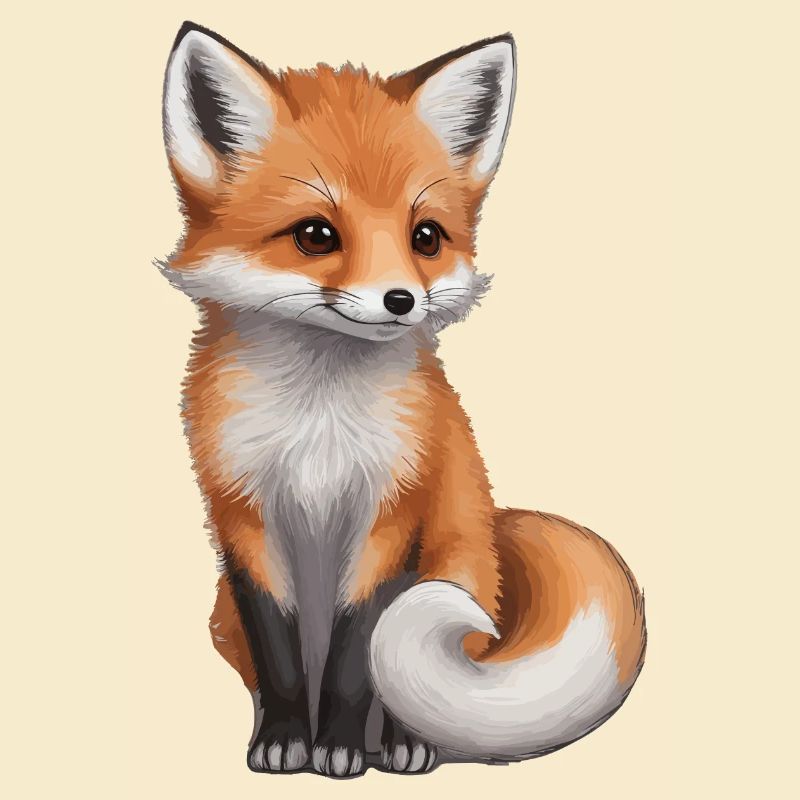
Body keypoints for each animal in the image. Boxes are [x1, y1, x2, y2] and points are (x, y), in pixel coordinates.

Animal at [158, 21, 646, 778]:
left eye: (426, 237)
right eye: (315, 234)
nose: (400, 300)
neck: (320, 423)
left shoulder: (393, 510)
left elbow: (360, 649)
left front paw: (338, 746)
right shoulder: (242, 514)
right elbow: (278, 647)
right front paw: (287, 740)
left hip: (453, 561)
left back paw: (400, 743)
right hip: (221, 615)